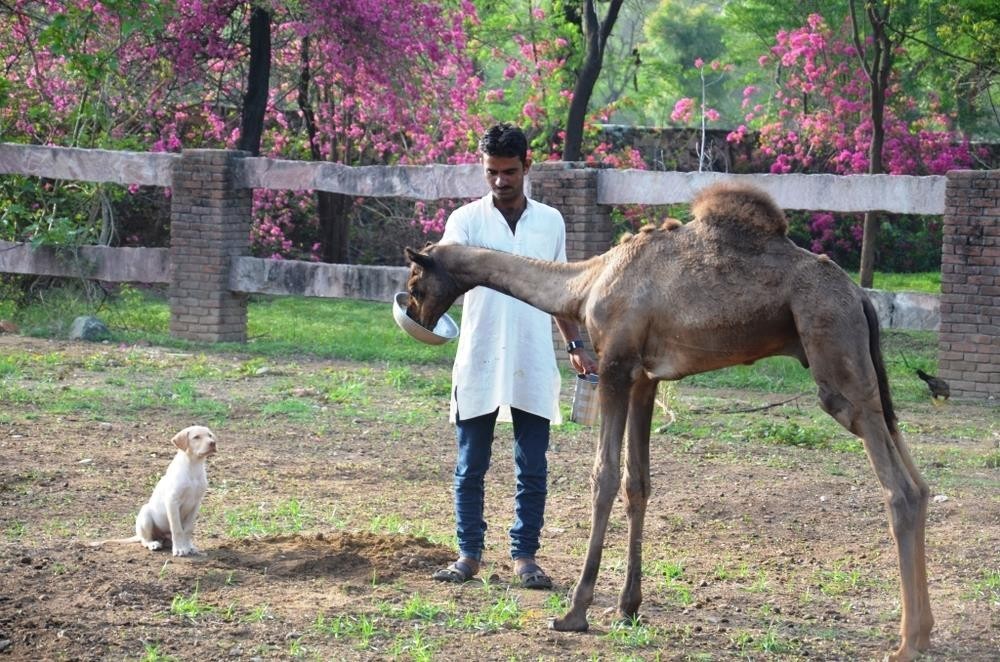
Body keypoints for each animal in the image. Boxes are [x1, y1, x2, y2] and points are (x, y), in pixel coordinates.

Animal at [91, 428, 217, 556]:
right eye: (196, 437)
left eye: (210, 435)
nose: (213, 443)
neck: (193, 466)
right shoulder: (172, 501)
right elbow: (176, 529)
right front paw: (179, 549)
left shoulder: (196, 503)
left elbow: (188, 529)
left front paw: (188, 547)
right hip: (145, 515)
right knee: (145, 539)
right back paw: (153, 544)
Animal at [402, 182, 932, 662]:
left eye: (414, 281)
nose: (414, 314)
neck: (585, 284)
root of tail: (860, 297)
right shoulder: (645, 377)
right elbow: (638, 482)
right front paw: (627, 608)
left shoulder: (615, 364)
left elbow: (603, 477)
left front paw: (574, 612)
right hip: (866, 373)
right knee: (918, 480)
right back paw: (923, 632)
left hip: (836, 361)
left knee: (899, 489)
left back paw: (906, 643)